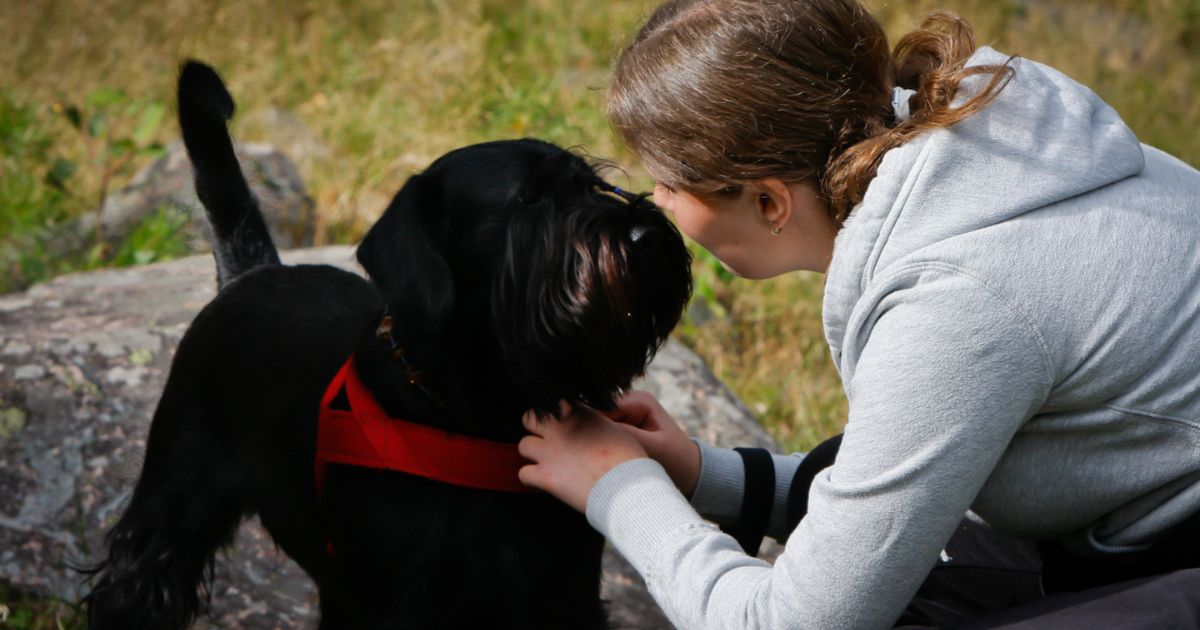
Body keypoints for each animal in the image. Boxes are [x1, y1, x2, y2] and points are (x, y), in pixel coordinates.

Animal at [84, 60, 691, 628]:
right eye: (530, 199)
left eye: (591, 184)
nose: (645, 235)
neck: (484, 416)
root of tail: (250, 272)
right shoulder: (402, 604)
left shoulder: (563, 593)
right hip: (169, 513)